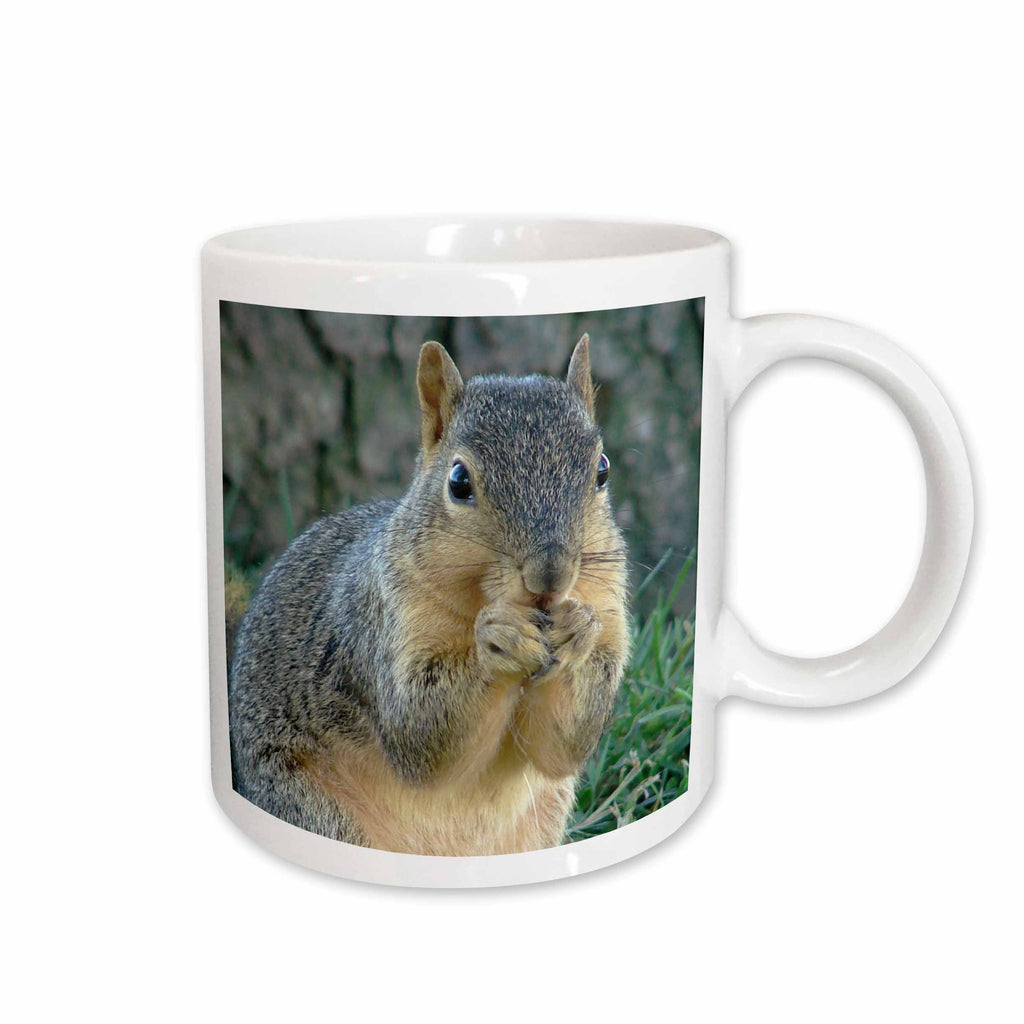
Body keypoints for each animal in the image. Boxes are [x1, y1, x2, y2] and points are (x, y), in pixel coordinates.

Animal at [228, 334, 629, 855]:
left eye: (602, 470)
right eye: (458, 482)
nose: (550, 575)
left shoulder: (609, 606)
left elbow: (564, 747)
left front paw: (577, 629)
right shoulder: (380, 619)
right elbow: (419, 735)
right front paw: (497, 640)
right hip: (317, 814)